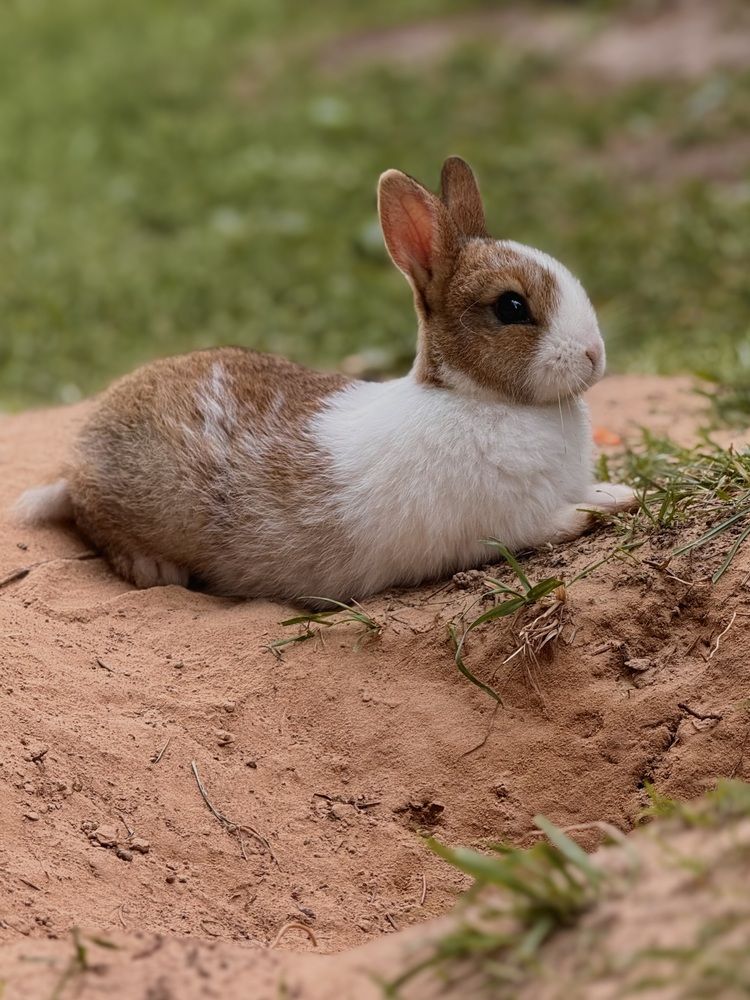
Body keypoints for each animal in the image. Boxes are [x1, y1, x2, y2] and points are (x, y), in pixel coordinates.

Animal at [16, 157, 634, 607]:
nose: (594, 355)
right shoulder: (505, 523)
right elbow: (549, 524)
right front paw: (599, 510)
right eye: (511, 307)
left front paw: (619, 492)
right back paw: (155, 568)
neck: (473, 396)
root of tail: (81, 456)